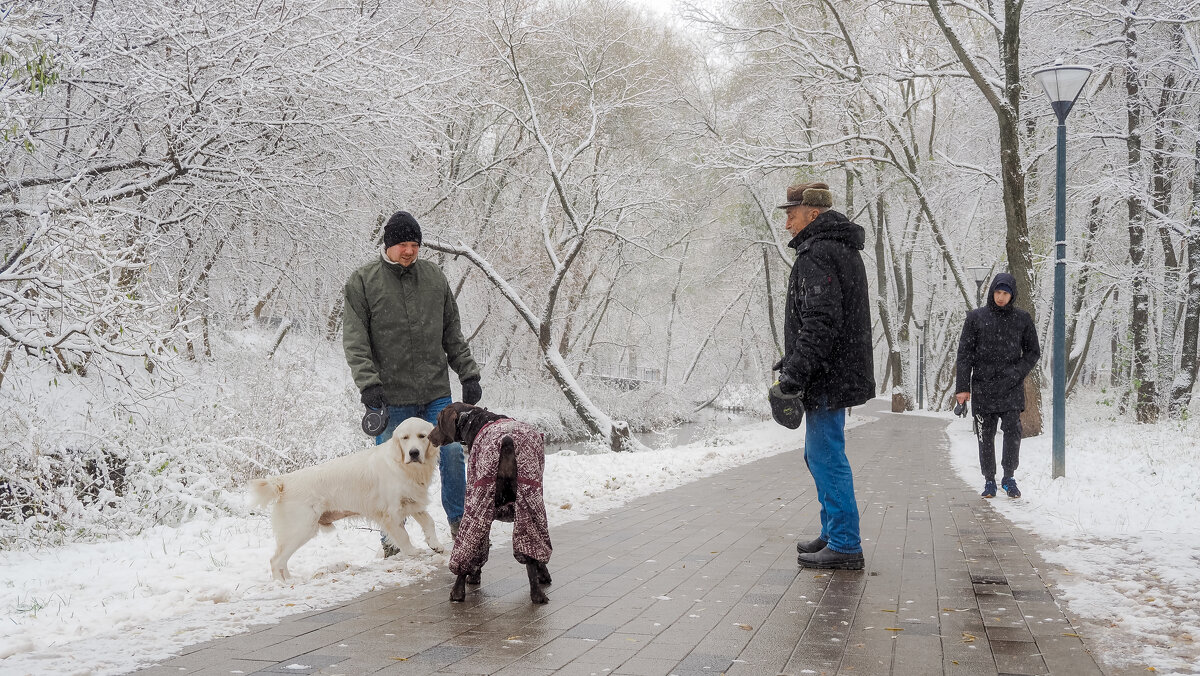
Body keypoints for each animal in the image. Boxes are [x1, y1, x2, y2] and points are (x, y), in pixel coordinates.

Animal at [432, 405, 552, 605]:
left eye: (438, 421)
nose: (428, 436)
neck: (473, 419)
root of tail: (507, 441)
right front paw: (543, 573)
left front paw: (474, 575)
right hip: (529, 503)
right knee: (531, 552)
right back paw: (537, 594)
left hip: (477, 502)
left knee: (468, 549)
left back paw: (457, 591)